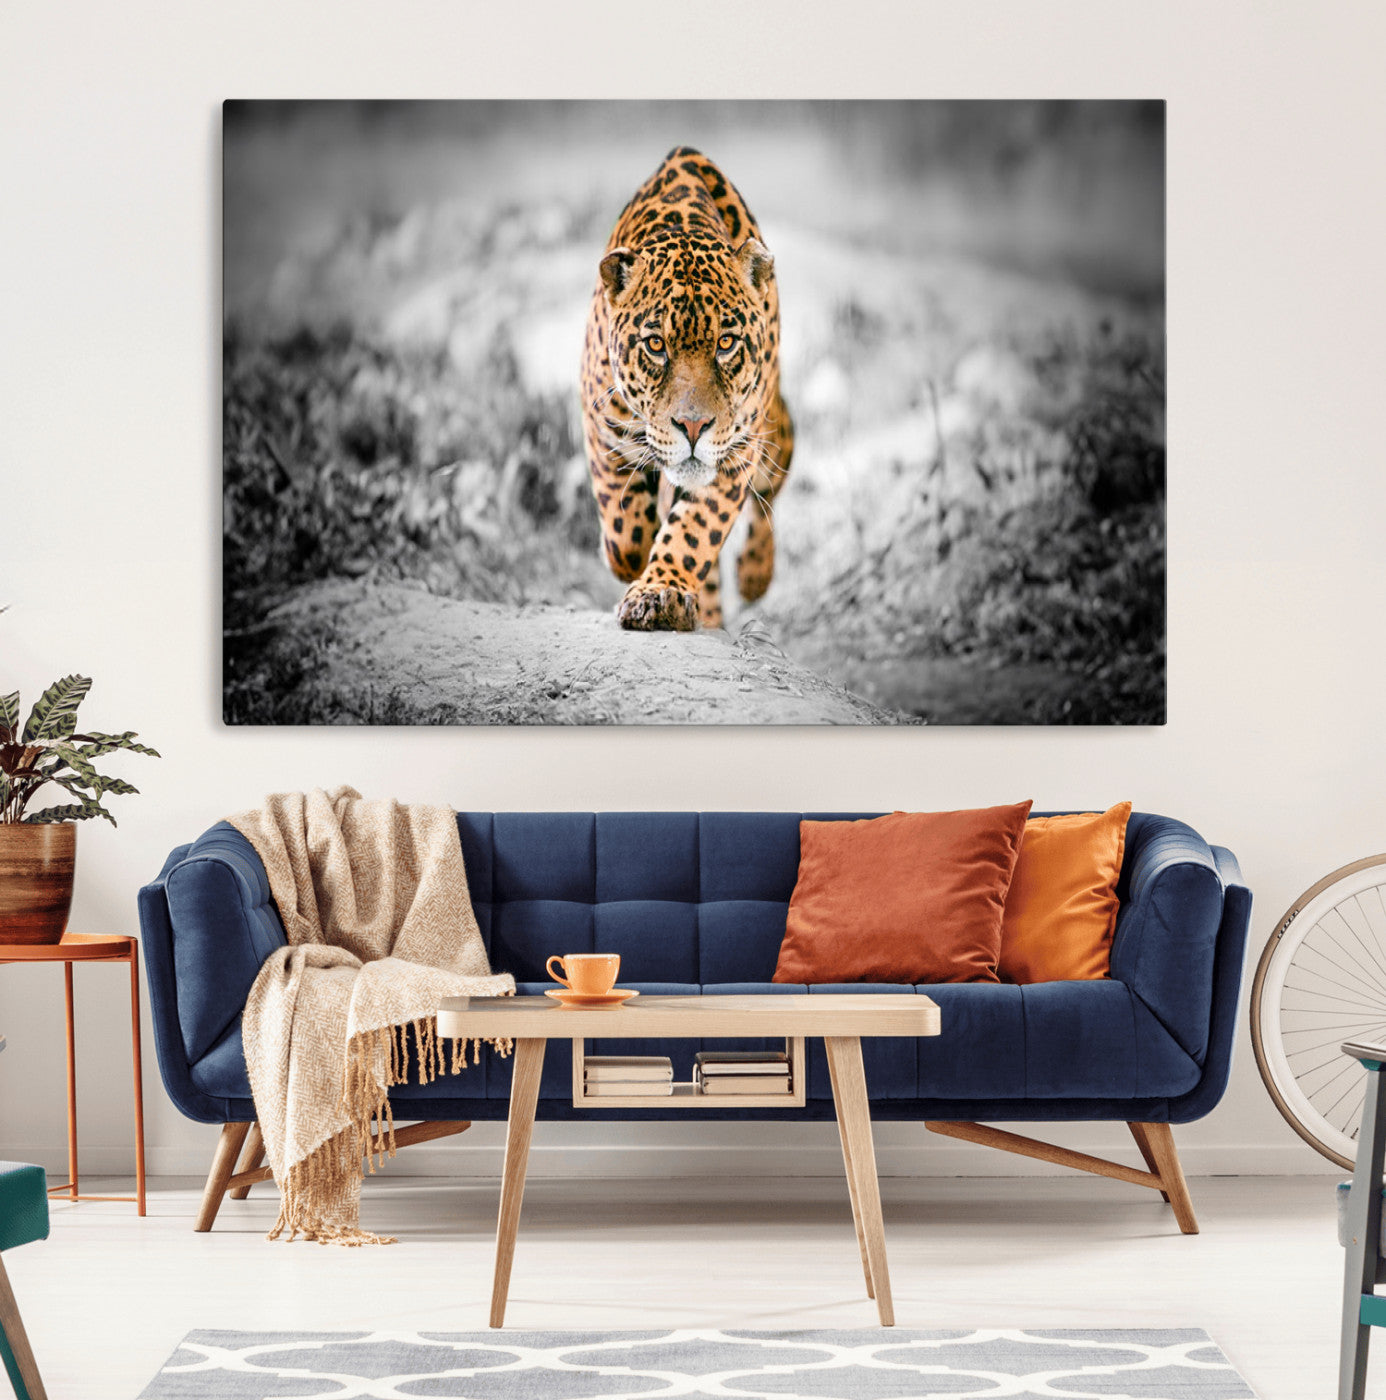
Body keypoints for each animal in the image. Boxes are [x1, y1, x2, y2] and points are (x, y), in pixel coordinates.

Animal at [580, 146, 794, 631]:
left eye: (726, 343)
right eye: (656, 345)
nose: (693, 427)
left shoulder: (736, 451)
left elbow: (695, 530)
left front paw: (660, 593)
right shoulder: (602, 425)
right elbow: (624, 531)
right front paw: (633, 560)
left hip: (773, 433)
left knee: (771, 489)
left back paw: (754, 575)